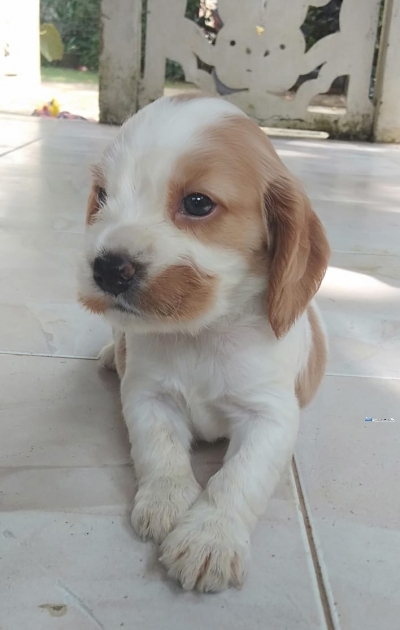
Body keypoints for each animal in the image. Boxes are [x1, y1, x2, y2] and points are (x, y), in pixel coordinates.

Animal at [76, 94, 330, 592]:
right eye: (103, 195)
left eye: (197, 203)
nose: (108, 268)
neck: (202, 333)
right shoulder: (147, 395)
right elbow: (159, 448)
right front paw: (167, 501)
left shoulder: (270, 416)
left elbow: (238, 476)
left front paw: (210, 538)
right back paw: (110, 354)